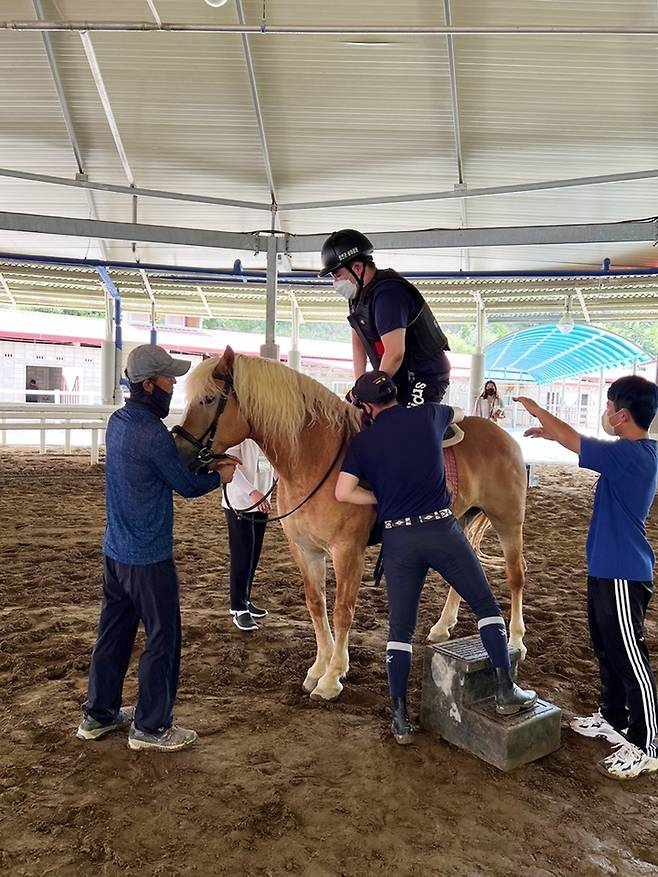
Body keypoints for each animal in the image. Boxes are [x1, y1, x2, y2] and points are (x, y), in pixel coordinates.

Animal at [174, 346, 528, 700]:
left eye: (208, 399)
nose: (180, 452)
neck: (314, 460)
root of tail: (503, 437)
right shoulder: (305, 549)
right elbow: (316, 605)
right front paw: (319, 667)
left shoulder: (347, 551)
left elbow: (342, 611)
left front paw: (332, 678)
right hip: (461, 520)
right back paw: (443, 627)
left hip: (508, 521)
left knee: (516, 575)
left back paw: (516, 641)